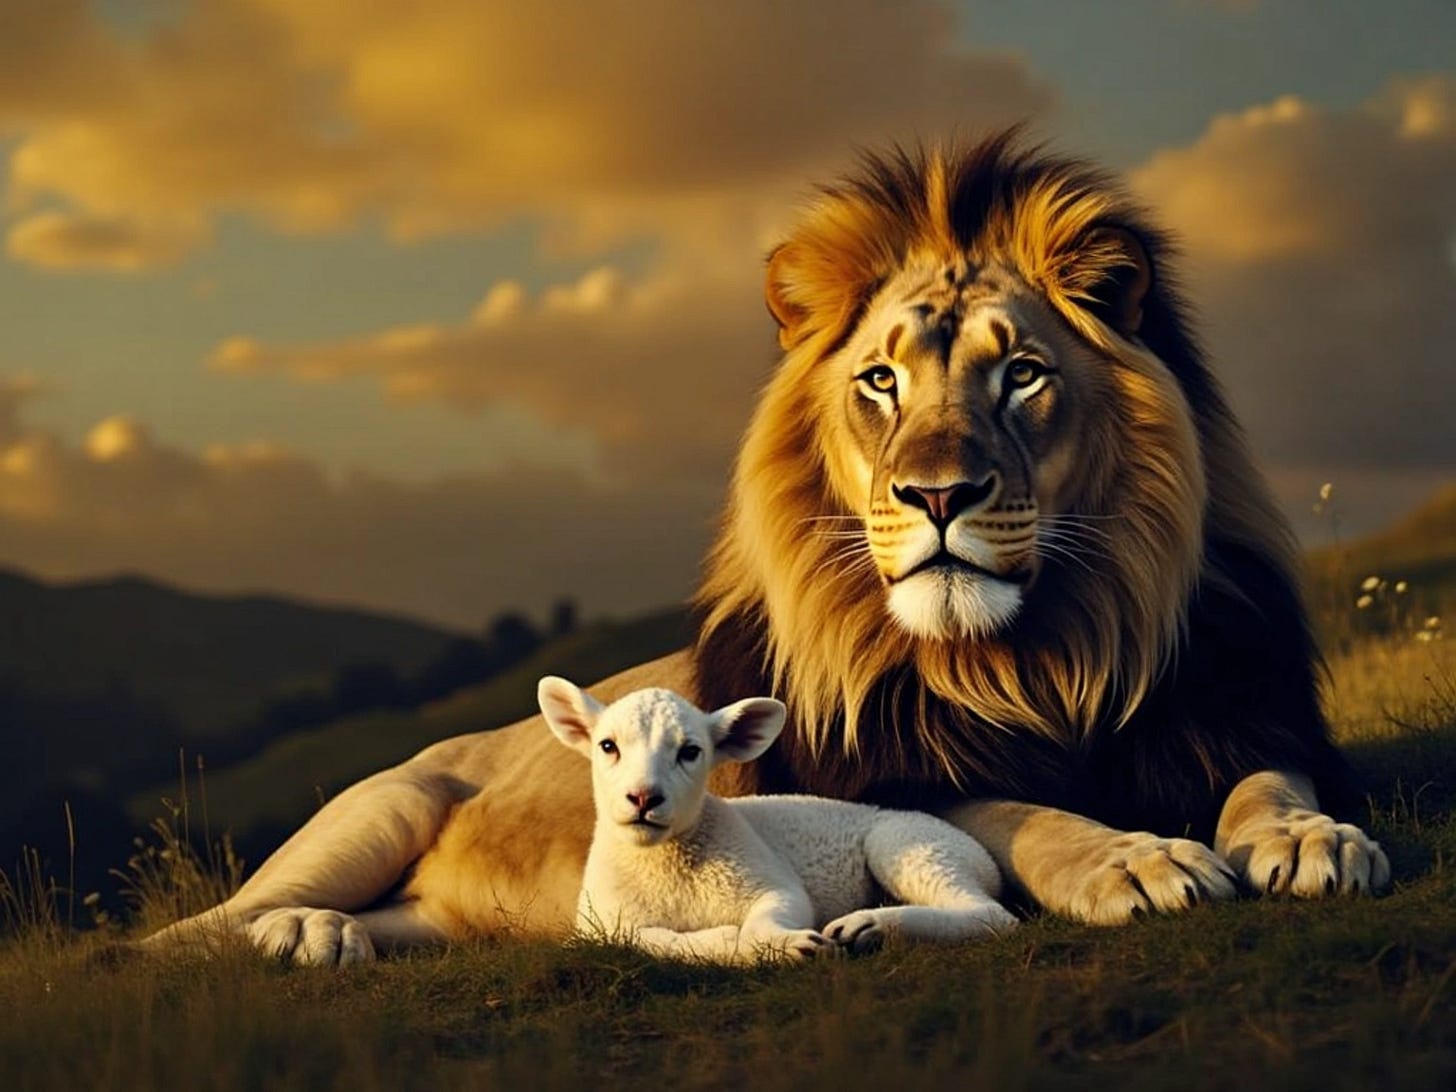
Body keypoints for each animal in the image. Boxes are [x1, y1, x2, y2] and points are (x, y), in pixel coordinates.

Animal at [538, 676, 1017, 963]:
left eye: (691, 751)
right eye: (607, 746)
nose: (643, 797)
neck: (665, 867)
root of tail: (980, 856)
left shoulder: (771, 882)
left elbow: (765, 921)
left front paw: (789, 945)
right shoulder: (599, 928)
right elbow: (648, 939)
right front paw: (722, 943)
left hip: (914, 845)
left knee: (993, 916)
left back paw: (870, 925)